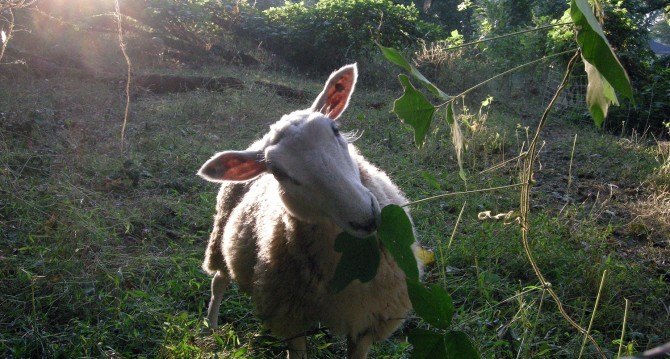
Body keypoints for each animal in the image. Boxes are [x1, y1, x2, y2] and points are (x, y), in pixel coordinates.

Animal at [197, 64, 426, 359]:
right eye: (278, 171)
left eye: (335, 129)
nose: (364, 216)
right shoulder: (290, 318)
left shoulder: (368, 319)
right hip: (220, 240)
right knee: (218, 282)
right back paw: (212, 327)